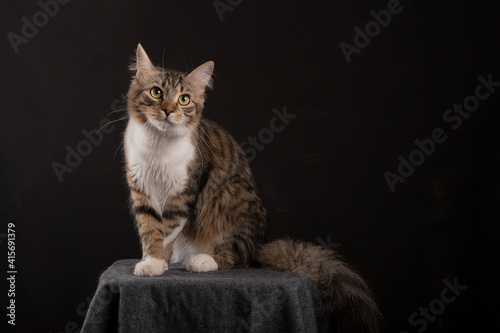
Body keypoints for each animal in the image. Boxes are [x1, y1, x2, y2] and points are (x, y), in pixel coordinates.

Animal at [123, 42, 380, 330]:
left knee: (236, 258)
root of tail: (259, 246)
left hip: (232, 196)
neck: (158, 145)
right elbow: (150, 230)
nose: (168, 110)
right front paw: (153, 261)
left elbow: (166, 232)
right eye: (156, 93)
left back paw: (202, 260)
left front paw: (156, 262)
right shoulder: (142, 191)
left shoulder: (183, 195)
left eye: (184, 99)